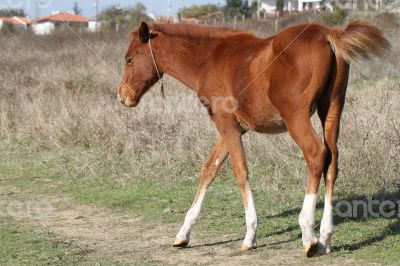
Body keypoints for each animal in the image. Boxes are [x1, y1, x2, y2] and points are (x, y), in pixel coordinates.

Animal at [118, 20, 388, 258]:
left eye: (129, 59)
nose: (122, 96)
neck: (210, 59)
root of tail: (327, 34)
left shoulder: (226, 124)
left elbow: (240, 171)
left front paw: (250, 236)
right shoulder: (232, 128)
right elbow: (209, 170)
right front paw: (183, 234)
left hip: (296, 116)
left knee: (316, 155)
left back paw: (308, 235)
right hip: (331, 109)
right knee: (332, 163)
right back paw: (325, 237)